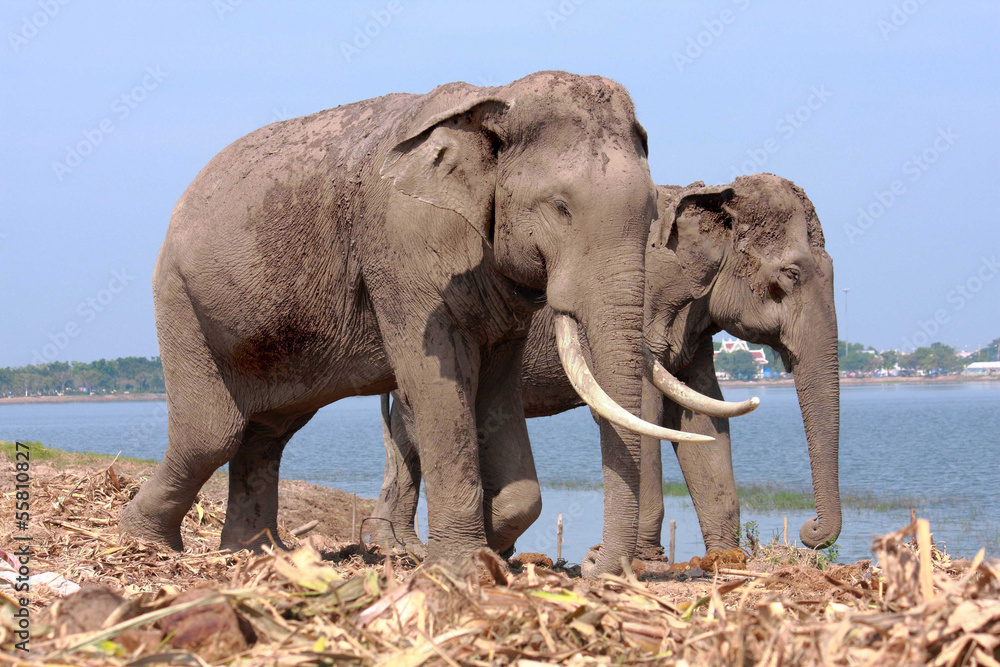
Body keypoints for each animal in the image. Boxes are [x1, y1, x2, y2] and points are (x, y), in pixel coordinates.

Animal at [119, 71, 723, 576]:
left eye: (651, 215)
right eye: (560, 207)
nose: (596, 564)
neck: (493, 100)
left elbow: (498, 397)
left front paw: (488, 540)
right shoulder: (402, 247)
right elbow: (436, 384)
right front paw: (461, 564)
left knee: (268, 431)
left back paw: (257, 553)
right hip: (179, 297)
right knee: (213, 433)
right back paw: (144, 541)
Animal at [372, 172, 840, 559]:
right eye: (790, 275)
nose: (810, 530)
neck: (713, 193)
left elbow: (704, 415)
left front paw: (724, 560)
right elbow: (646, 409)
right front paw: (641, 560)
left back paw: (407, 546)